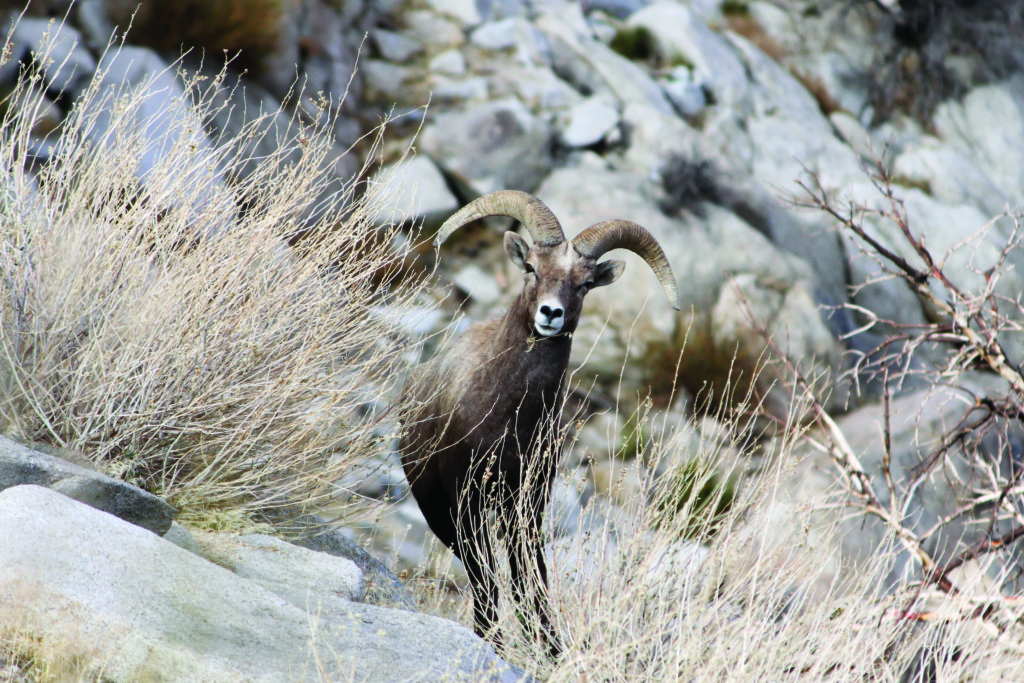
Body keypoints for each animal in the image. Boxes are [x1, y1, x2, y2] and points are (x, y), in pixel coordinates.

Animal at [399, 190, 679, 655]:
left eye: (584, 283)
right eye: (531, 267)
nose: (551, 313)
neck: (511, 420)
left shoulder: (528, 505)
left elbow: (530, 578)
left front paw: (549, 648)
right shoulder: (466, 502)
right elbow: (488, 580)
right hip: (443, 516)